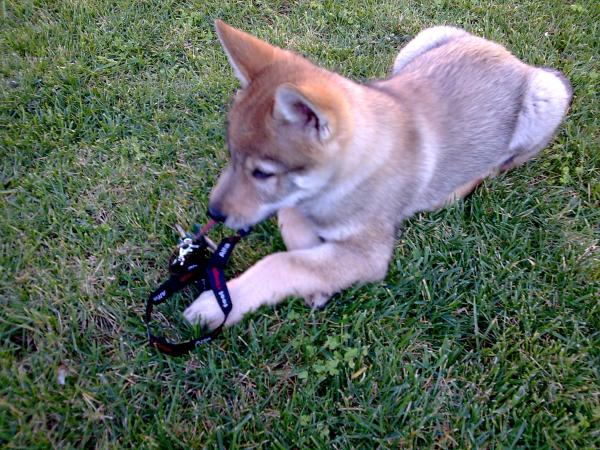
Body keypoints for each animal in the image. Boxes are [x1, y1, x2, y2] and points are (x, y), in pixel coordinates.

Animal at [184, 20, 572, 326]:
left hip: (547, 97)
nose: (214, 213)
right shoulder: (302, 207)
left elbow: (283, 263)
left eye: (262, 173)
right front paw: (316, 278)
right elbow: (292, 227)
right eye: (231, 156)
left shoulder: (369, 255)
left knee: (499, 165)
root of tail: (509, 57)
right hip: (422, 41)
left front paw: (217, 306)